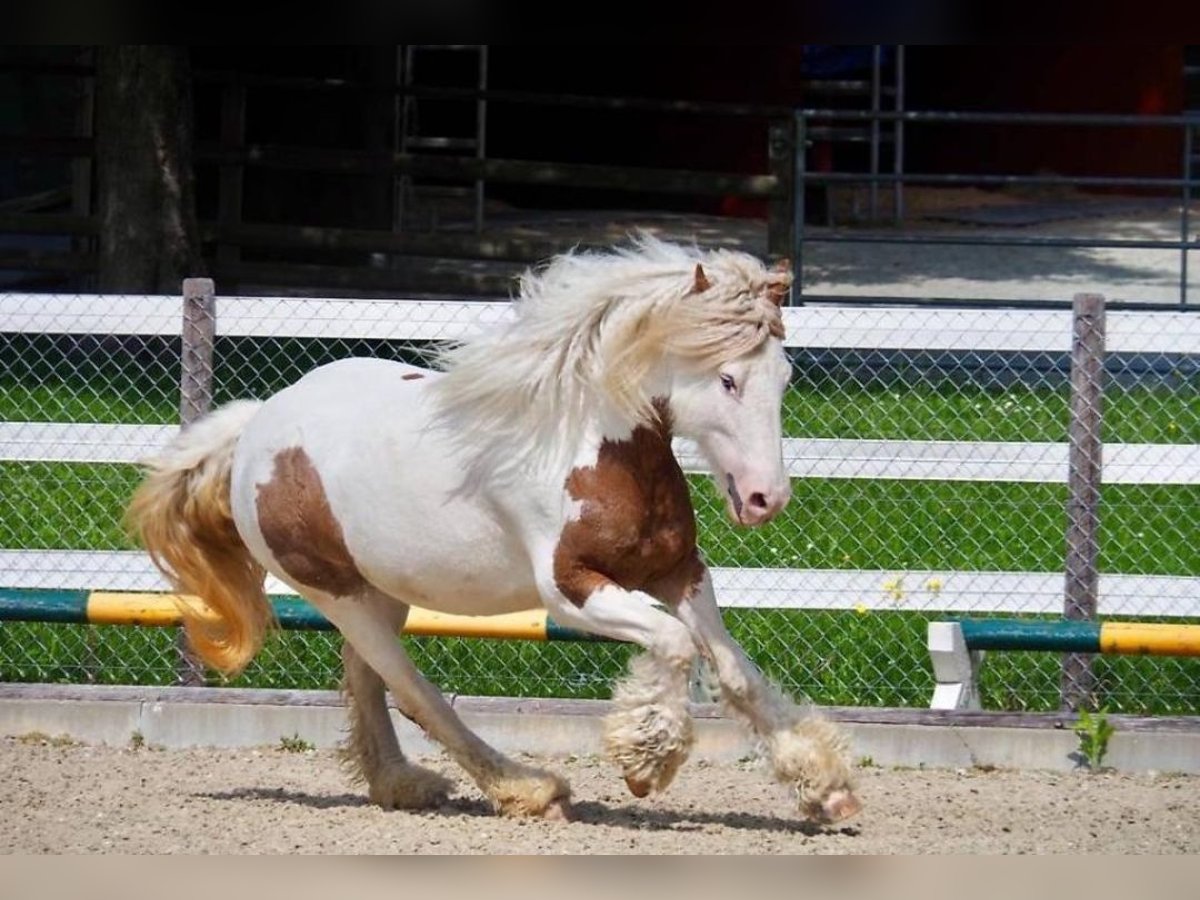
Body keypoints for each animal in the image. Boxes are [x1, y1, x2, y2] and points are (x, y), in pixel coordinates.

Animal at [129, 237, 864, 825]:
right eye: (728, 379)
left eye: (784, 376)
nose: (767, 499)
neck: (595, 446)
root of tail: (255, 426)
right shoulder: (571, 589)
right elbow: (676, 645)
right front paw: (646, 763)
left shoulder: (677, 571)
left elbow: (735, 674)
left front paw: (826, 790)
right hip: (336, 594)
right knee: (416, 693)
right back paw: (529, 790)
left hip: (380, 593)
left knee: (368, 683)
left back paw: (403, 785)